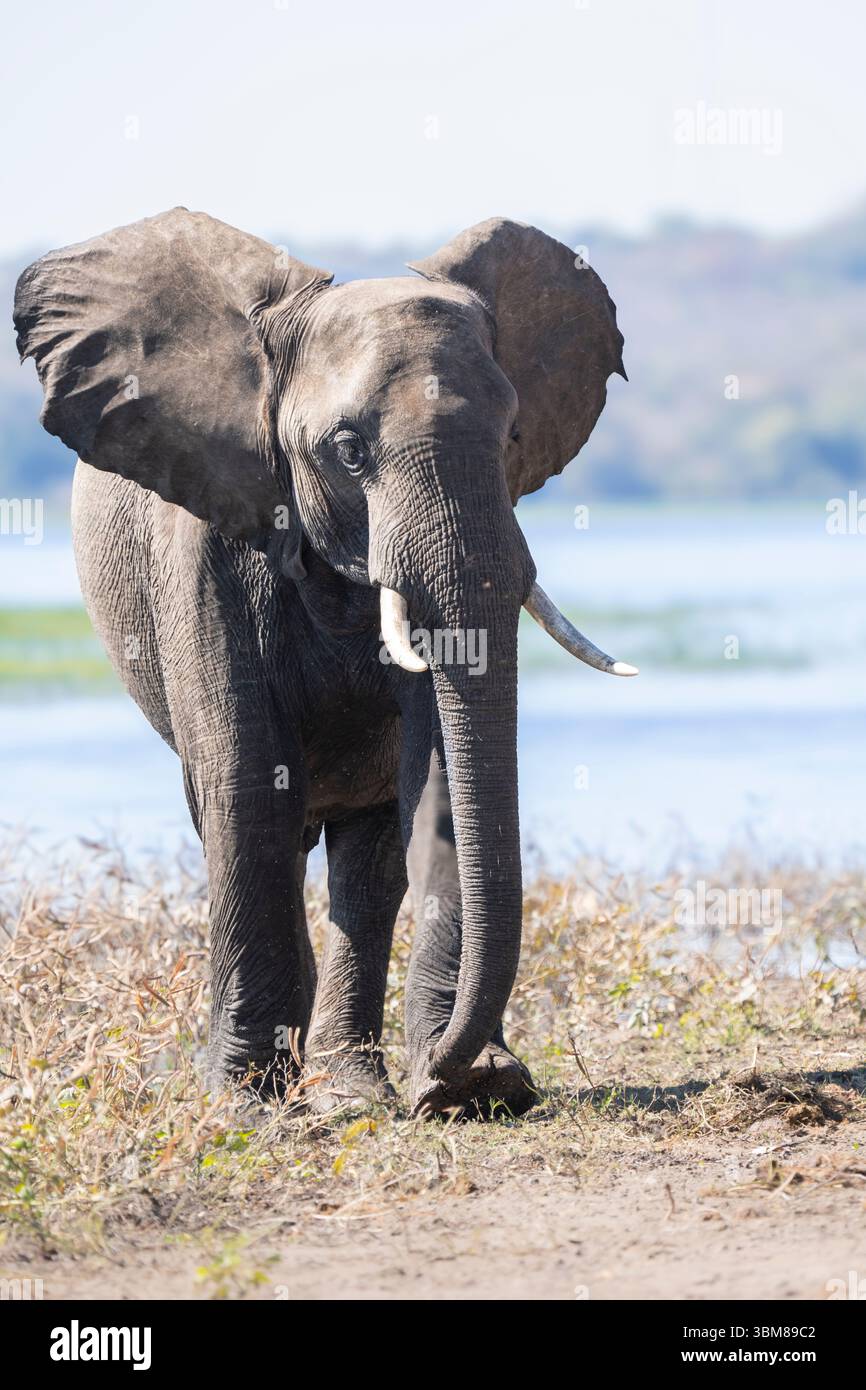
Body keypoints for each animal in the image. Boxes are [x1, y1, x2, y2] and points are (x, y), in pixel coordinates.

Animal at [14, 208, 634, 1119]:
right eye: (347, 451)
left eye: (514, 435)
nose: (442, 1072)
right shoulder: (204, 552)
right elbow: (248, 784)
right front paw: (244, 1107)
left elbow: (433, 780)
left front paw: (476, 1087)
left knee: (366, 856)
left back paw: (349, 1087)